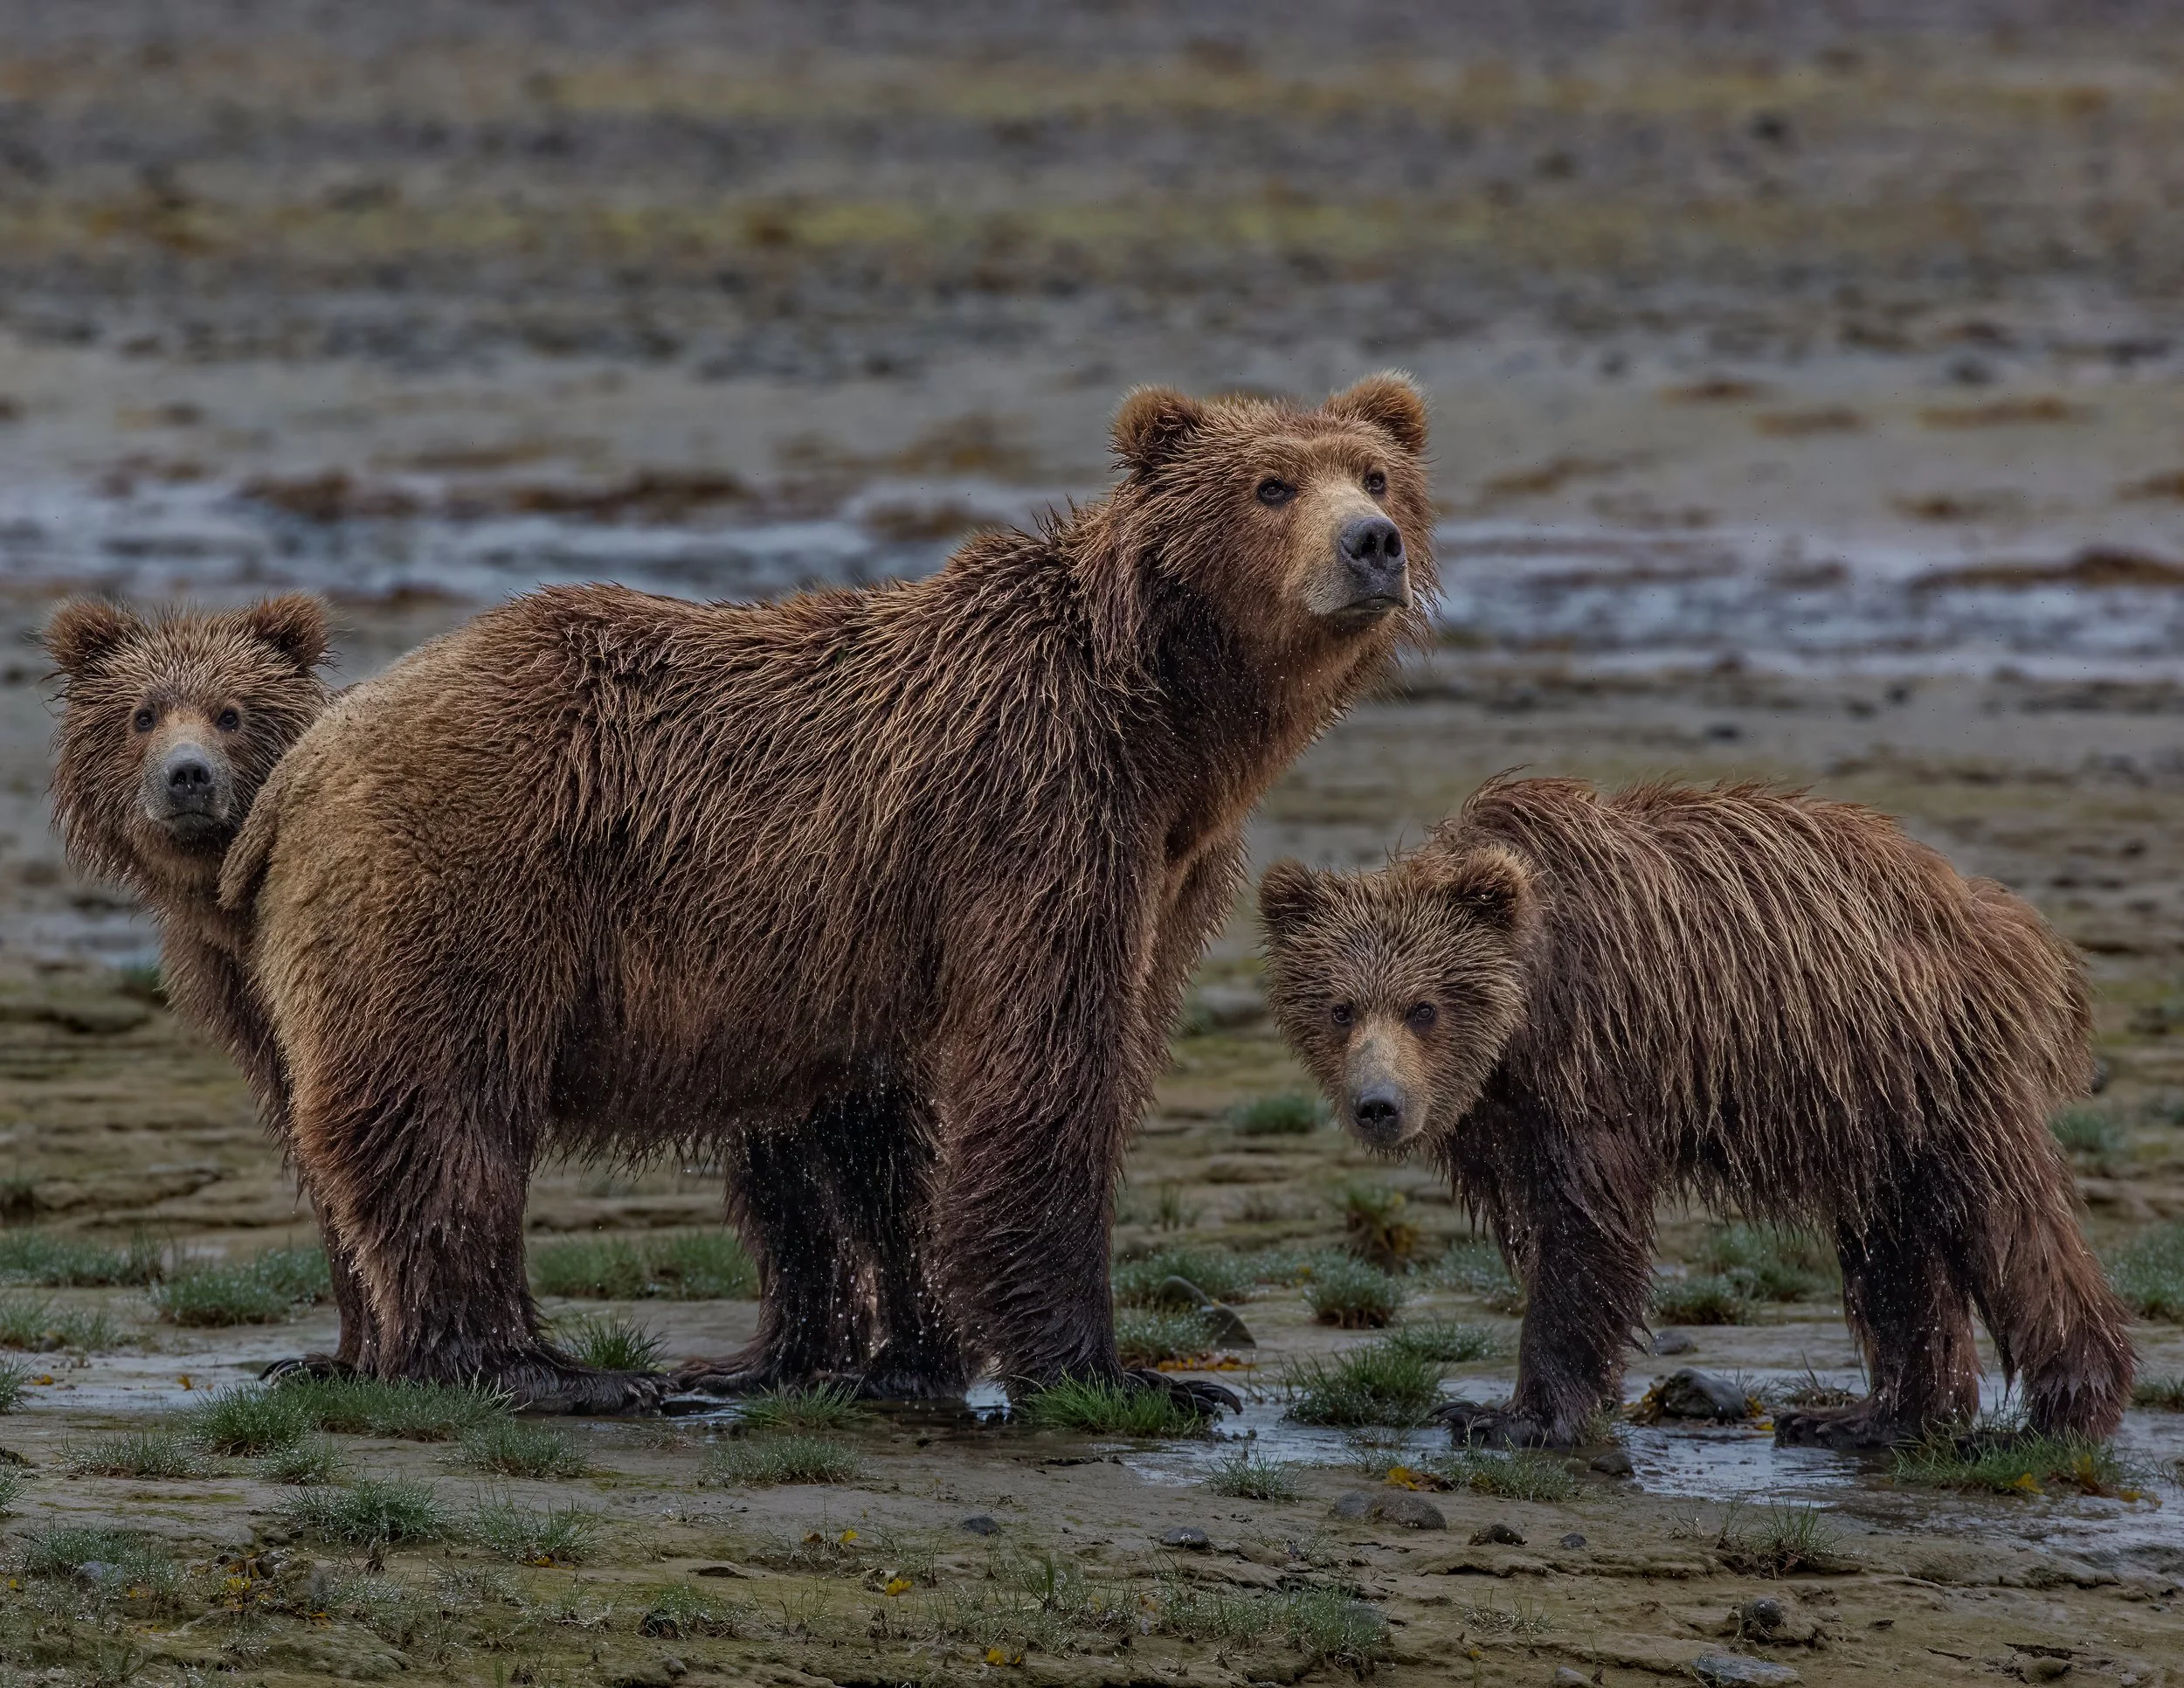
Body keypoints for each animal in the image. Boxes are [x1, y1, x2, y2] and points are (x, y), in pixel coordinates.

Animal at [218, 375, 1439, 1412]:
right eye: (1271, 484)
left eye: (1376, 475)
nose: (1370, 545)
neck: (1173, 726)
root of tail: (308, 760)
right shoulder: (1038, 815)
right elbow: (1046, 1071)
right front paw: (1120, 1371)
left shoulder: (1161, 865)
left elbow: (875, 1129)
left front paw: (896, 1357)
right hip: (466, 873)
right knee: (445, 1110)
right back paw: (536, 1366)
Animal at [1258, 776, 2134, 1450]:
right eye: (1340, 1008)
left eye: (1424, 1007)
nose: (1379, 1106)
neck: (1523, 1023)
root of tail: (1998, 915)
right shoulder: (1501, 1116)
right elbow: (1536, 1222)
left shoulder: (1597, 1061)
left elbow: (1585, 1230)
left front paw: (1512, 1416)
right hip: (1870, 1110)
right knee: (1895, 1248)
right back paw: (1866, 1418)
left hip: (1929, 1064)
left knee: (2006, 1220)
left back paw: (2065, 1411)